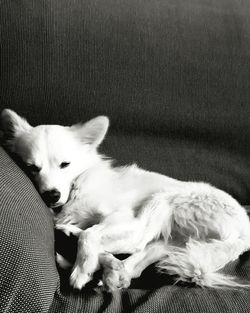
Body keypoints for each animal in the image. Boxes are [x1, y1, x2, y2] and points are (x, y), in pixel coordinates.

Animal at [1, 108, 250, 290]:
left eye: (65, 165)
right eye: (31, 168)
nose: (51, 195)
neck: (78, 186)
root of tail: (244, 232)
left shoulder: (120, 215)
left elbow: (91, 234)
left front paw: (82, 270)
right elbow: (92, 233)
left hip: (164, 200)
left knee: (134, 239)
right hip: (170, 243)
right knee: (134, 262)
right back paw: (109, 268)